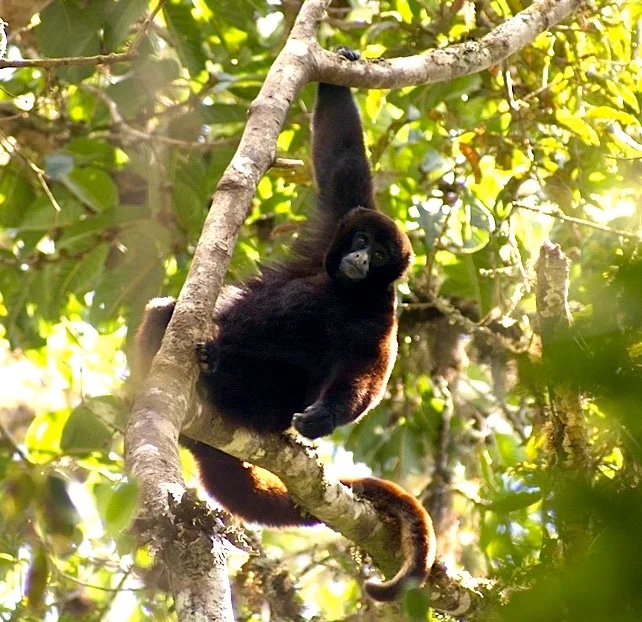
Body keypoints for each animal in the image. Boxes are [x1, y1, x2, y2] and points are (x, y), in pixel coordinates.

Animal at [135, 48, 436, 601]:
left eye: (381, 255)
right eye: (362, 239)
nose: (361, 257)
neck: (347, 290)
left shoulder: (381, 312)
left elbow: (368, 373)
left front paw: (324, 417)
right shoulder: (332, 233)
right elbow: (342, 164)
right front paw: (341, 68)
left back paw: (218, 374)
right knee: (164, 312)